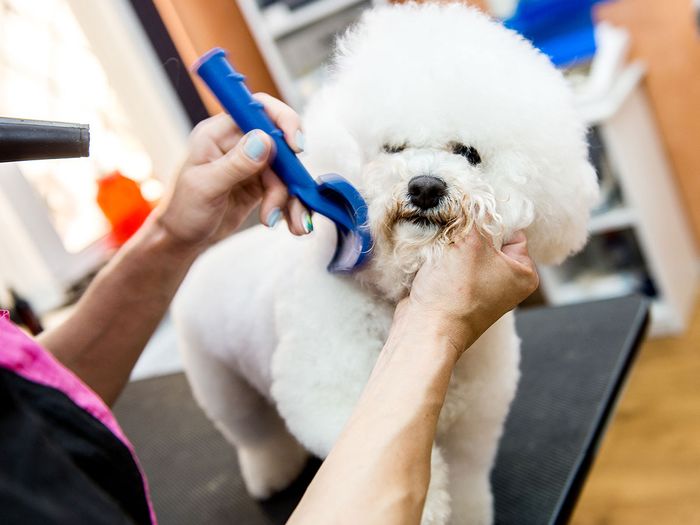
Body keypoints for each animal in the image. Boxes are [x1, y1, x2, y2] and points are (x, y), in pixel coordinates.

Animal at [172, 2, 600, 520]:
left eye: (469, 153)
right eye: (392, 148)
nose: (425, 186)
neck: (395, 300)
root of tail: (206, 260)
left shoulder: (475, 422)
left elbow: (468, 479)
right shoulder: (332, 396)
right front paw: (429, 508)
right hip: (221, 382)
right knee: (256, 434)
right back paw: (269, 475)